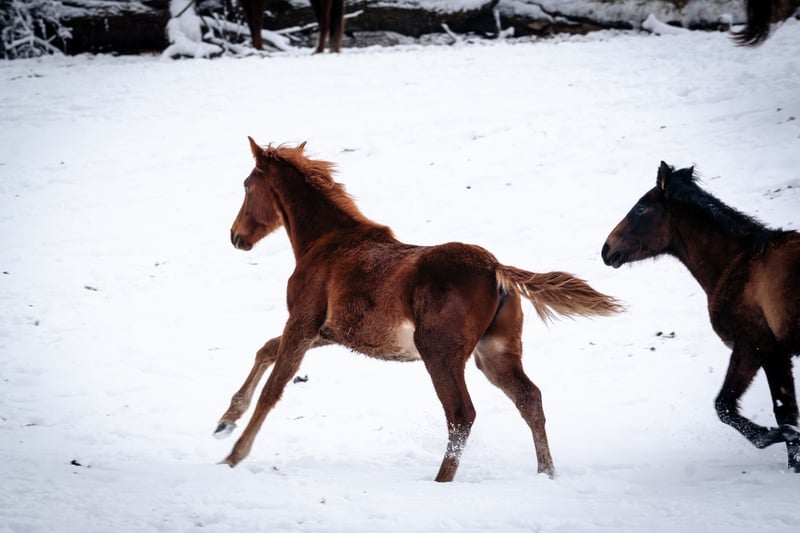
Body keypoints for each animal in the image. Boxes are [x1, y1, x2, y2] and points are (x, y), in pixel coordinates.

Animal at [214, 138, 623, 482]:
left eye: (247, 186)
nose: (235, 237)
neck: (326, 243)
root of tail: (495, 268)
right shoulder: (328, 332)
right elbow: (265, 349)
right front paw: (225, 422)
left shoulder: (302, 322)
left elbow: (273, 388)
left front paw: (233, 455)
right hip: (494, 353)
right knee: (529, 399)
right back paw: (546, 473)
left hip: (439, 351)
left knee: (461, 414)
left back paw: (441, 481)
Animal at [601, 162, 800, 472]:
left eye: (640, 208)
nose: (606, 250)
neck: (738, 265)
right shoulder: (776, 355)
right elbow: (786, 412)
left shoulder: (753, 346)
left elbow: (725, 407)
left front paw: (773, 435)